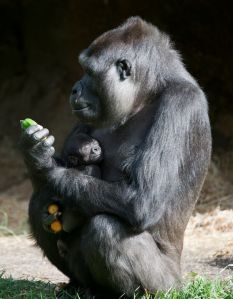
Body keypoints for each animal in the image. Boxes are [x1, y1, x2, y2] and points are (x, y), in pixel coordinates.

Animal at [19, 17, 212, 298]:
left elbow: (142, 200)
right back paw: (78, 286)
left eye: (89, 72)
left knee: (106, 228)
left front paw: (44, 162)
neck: (147, 93)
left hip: (169, 285)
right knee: (39, 201)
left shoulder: (180, 105)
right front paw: (34, 152)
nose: (74, 89)